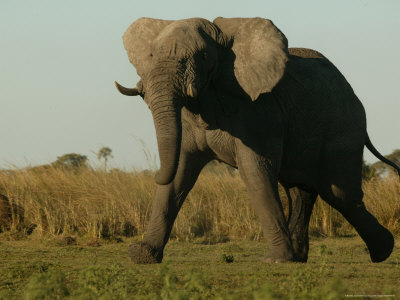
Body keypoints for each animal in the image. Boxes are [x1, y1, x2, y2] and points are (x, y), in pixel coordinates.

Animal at [114, 17, 398, 264]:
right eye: (151, 56)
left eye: (203, 56)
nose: (151, 174)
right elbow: (180, 175)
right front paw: (142, 256)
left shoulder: (259, 111)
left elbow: (255, 172)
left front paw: (276, 261)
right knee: (303, 191)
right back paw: (304, 256)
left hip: (343, 127)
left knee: (339, 193)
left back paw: (382, 251)